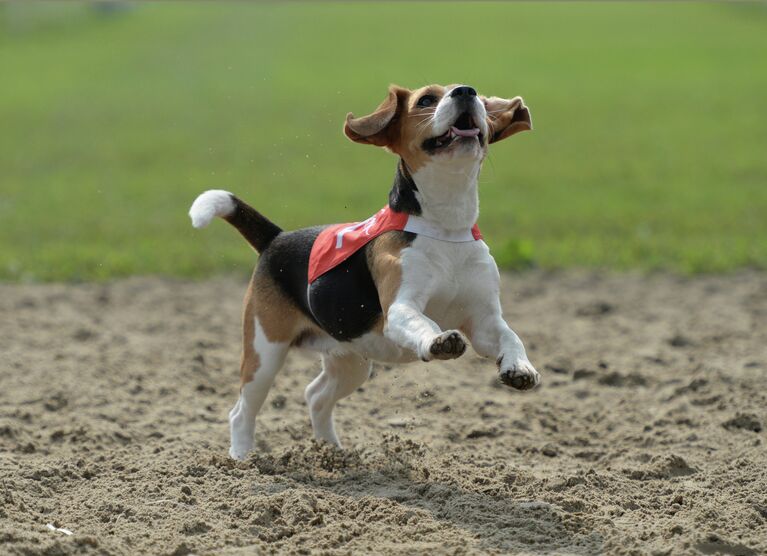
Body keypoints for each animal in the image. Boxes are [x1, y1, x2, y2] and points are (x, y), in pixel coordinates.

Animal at [190, 83, 540, 460]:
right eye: (426, 100)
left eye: (478, 98)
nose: (465, 91)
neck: (446, 226)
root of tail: (276, 238)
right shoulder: (400, 308)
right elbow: (424, 323)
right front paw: (439, 341)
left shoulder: (483, 320)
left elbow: (510, 336)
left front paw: (520, 368)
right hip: (264, 352)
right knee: (241, 411)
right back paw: (243, 459)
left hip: (350, 360)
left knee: (315, 396)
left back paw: (332, 451)